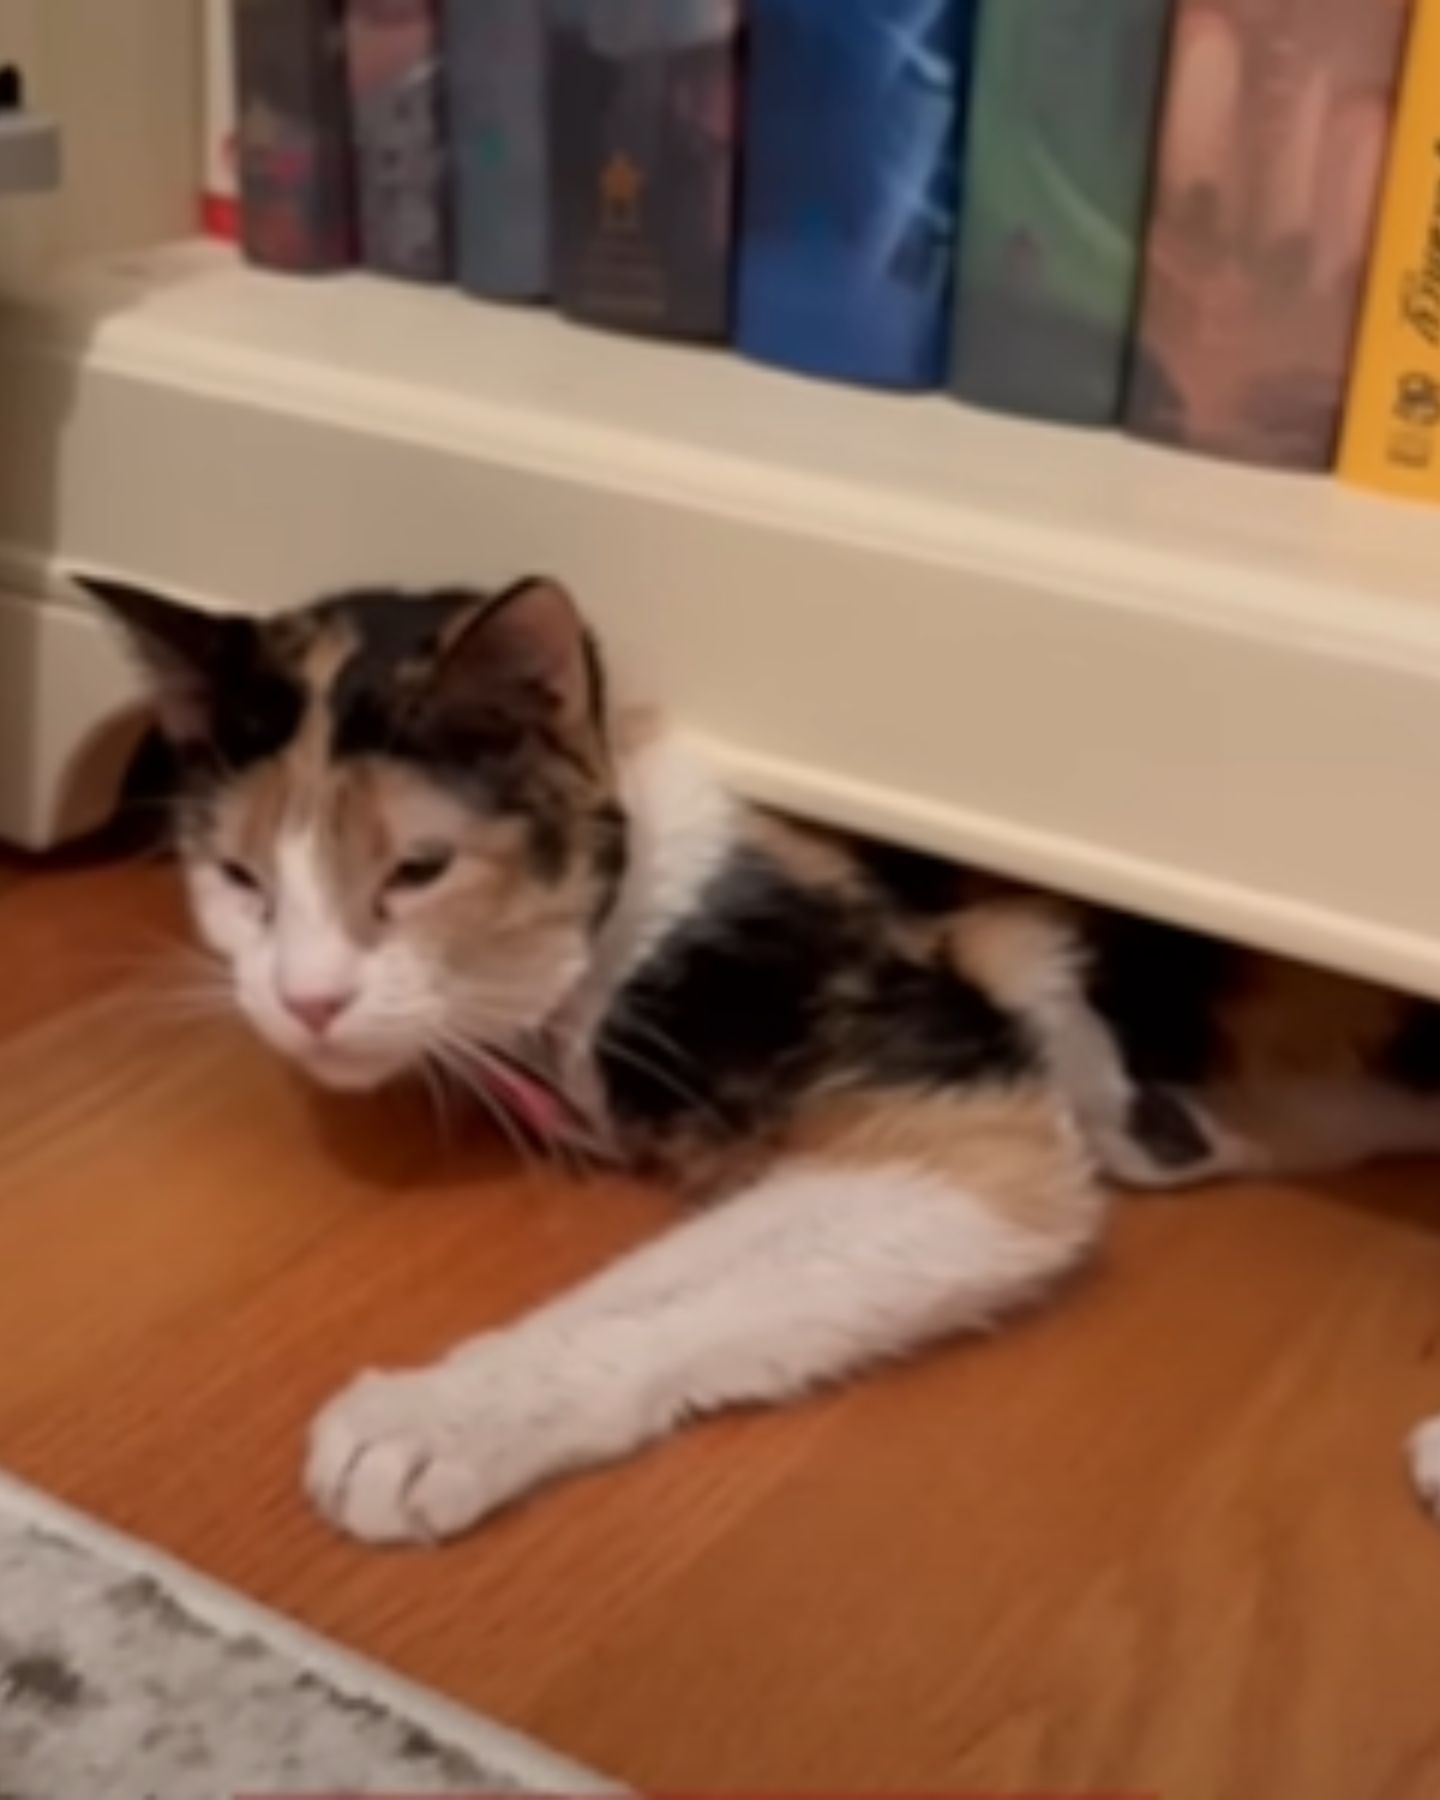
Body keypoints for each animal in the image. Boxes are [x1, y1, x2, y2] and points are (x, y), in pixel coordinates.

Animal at [84, 576, 1440, 1548]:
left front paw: (434, 1419)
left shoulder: (964, 1122)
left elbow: (664, 1288)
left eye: (418, 869)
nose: (305, 999)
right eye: (239, 878)